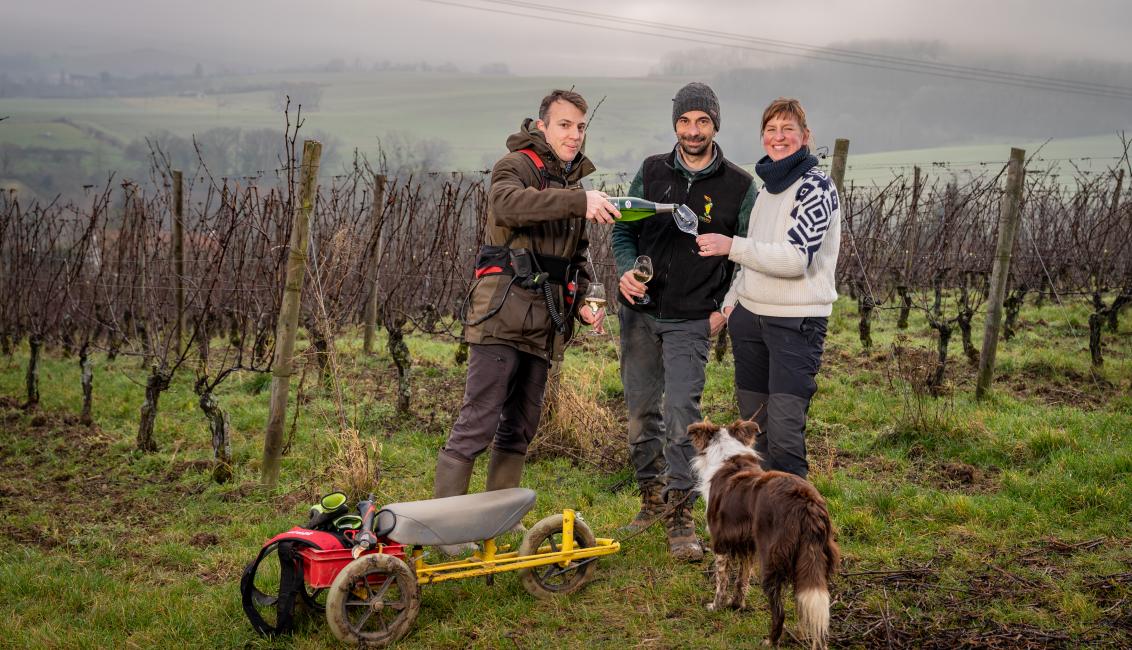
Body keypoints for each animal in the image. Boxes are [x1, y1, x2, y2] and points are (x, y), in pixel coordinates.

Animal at [683, 421, 837, 647]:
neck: (729, 457)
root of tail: (806, 503)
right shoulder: (747, 545)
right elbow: (742, 579)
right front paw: (737, 605)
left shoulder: (720, 543)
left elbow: (722, 581)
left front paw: (716, 606)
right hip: (812, 559)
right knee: (809, 610)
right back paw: (804, 637)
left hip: (772, 559)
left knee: (779, 612)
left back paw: (771, 641)